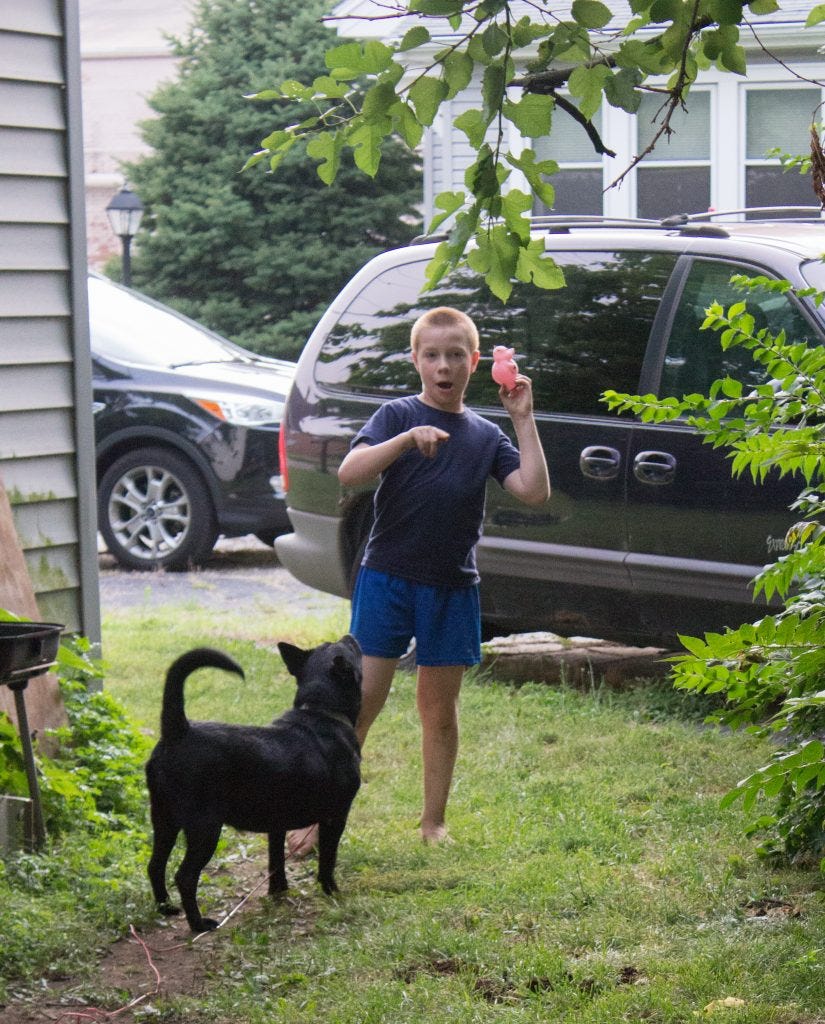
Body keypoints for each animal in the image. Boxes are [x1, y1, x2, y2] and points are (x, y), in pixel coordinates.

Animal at [147, 630, 360, 929]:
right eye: (349, 647)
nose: (349, 634)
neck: (321, 711)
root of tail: (179, 730)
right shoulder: (335, 816)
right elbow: (328, 859)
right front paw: (333, 892)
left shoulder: (277, 823)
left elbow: (276, 861)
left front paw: (278, 892)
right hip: (204, 829)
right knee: (184, 876)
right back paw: (199, 924)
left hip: (164, 819)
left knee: (155, 865)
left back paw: (166, 908)